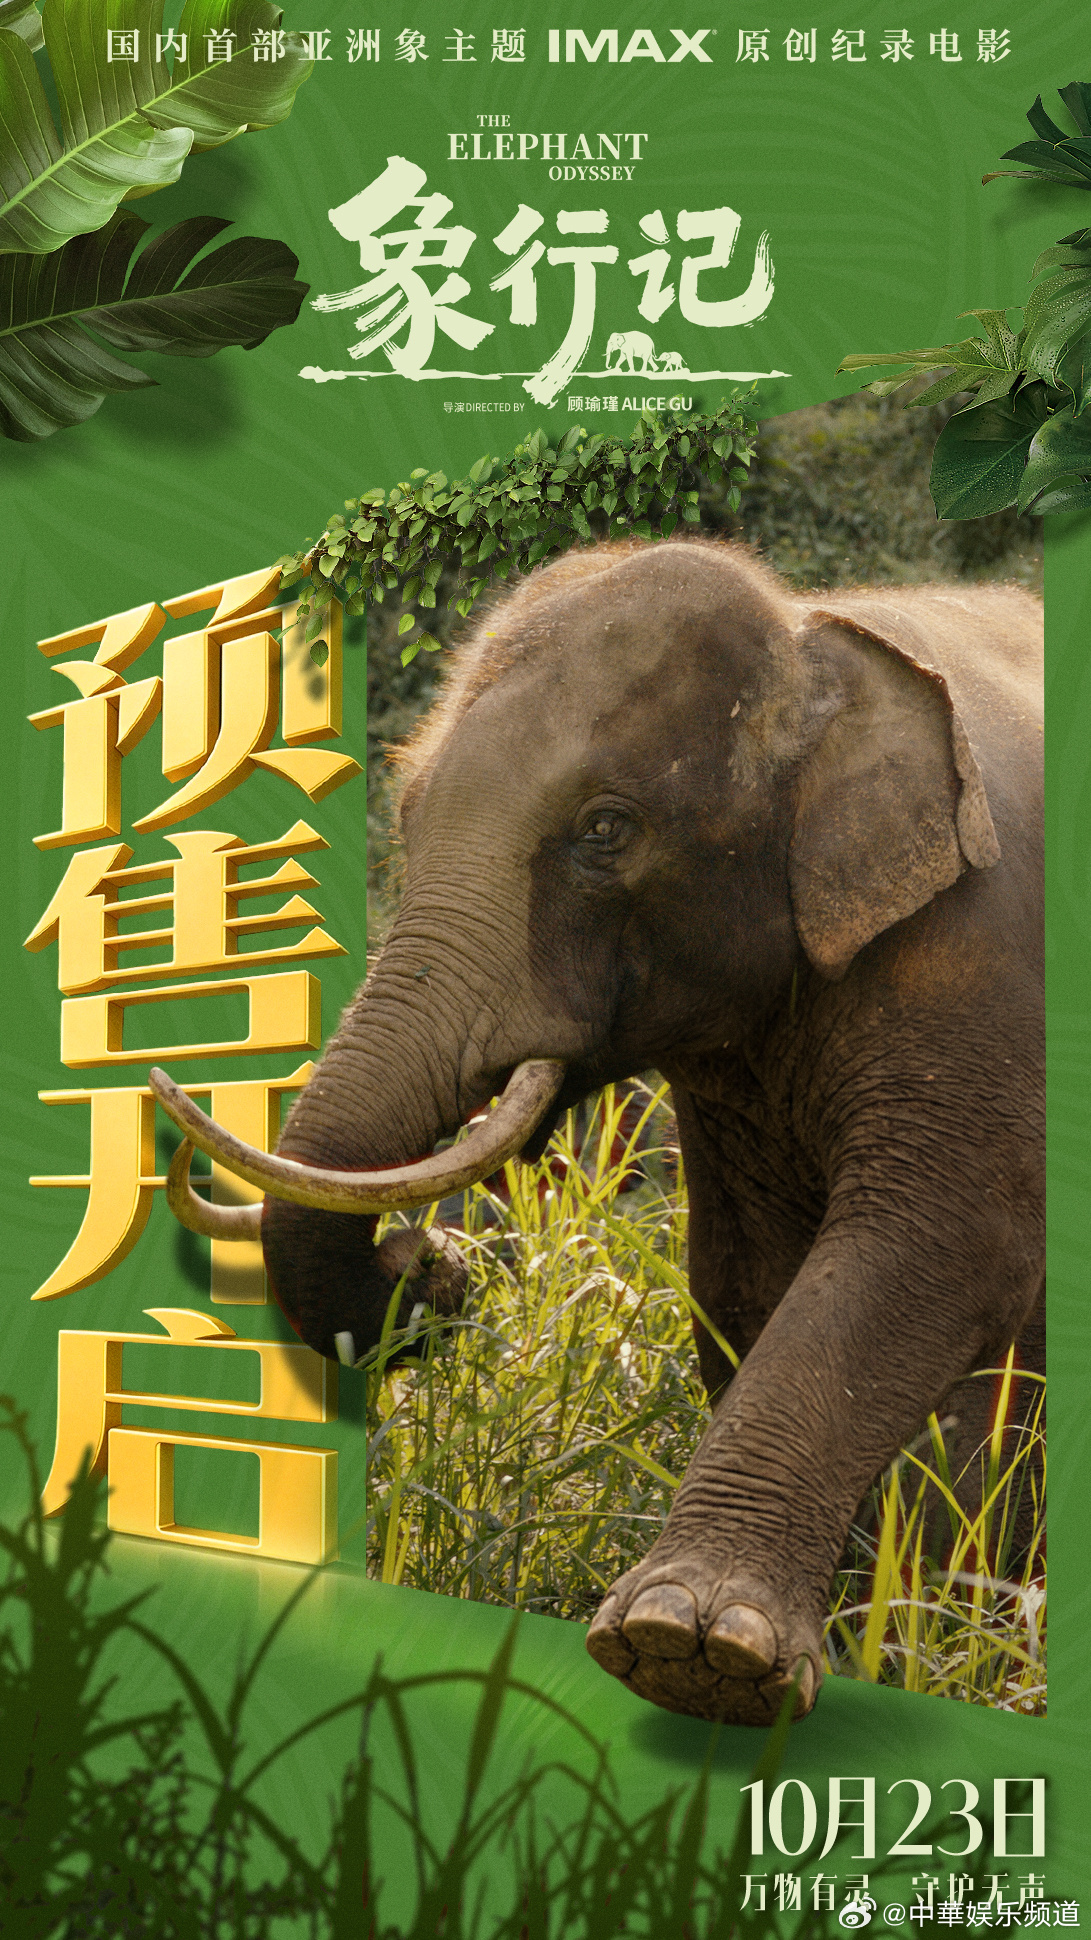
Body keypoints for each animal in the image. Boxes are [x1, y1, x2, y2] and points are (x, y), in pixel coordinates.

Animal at [152, 537, 1044, 1729]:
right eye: (406, 816)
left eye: (604, 830)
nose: (434, 1267)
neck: (817, 631)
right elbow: (746, 1279)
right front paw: (850, 1637)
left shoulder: (982, 963)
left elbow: (942, 1247)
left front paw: (700, 1650)